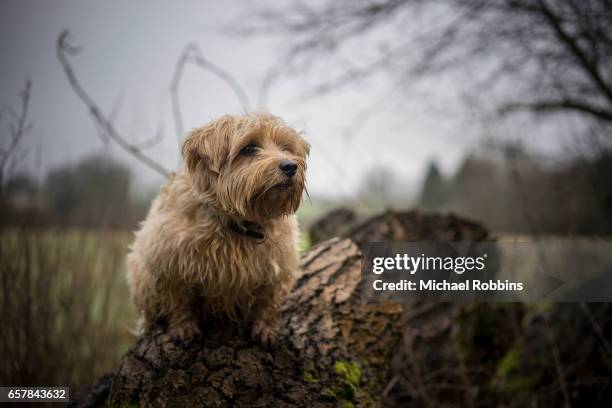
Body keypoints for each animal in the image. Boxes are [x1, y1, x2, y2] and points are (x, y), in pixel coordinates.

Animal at [128, 112, 310, 344]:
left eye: (286, 147)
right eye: (249, 148)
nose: (290, 166)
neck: (239, 222)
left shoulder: (279, 265)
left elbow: (269, 301)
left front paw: (266, 328)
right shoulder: (168, 263)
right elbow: (178, 300)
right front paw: (184, 327)